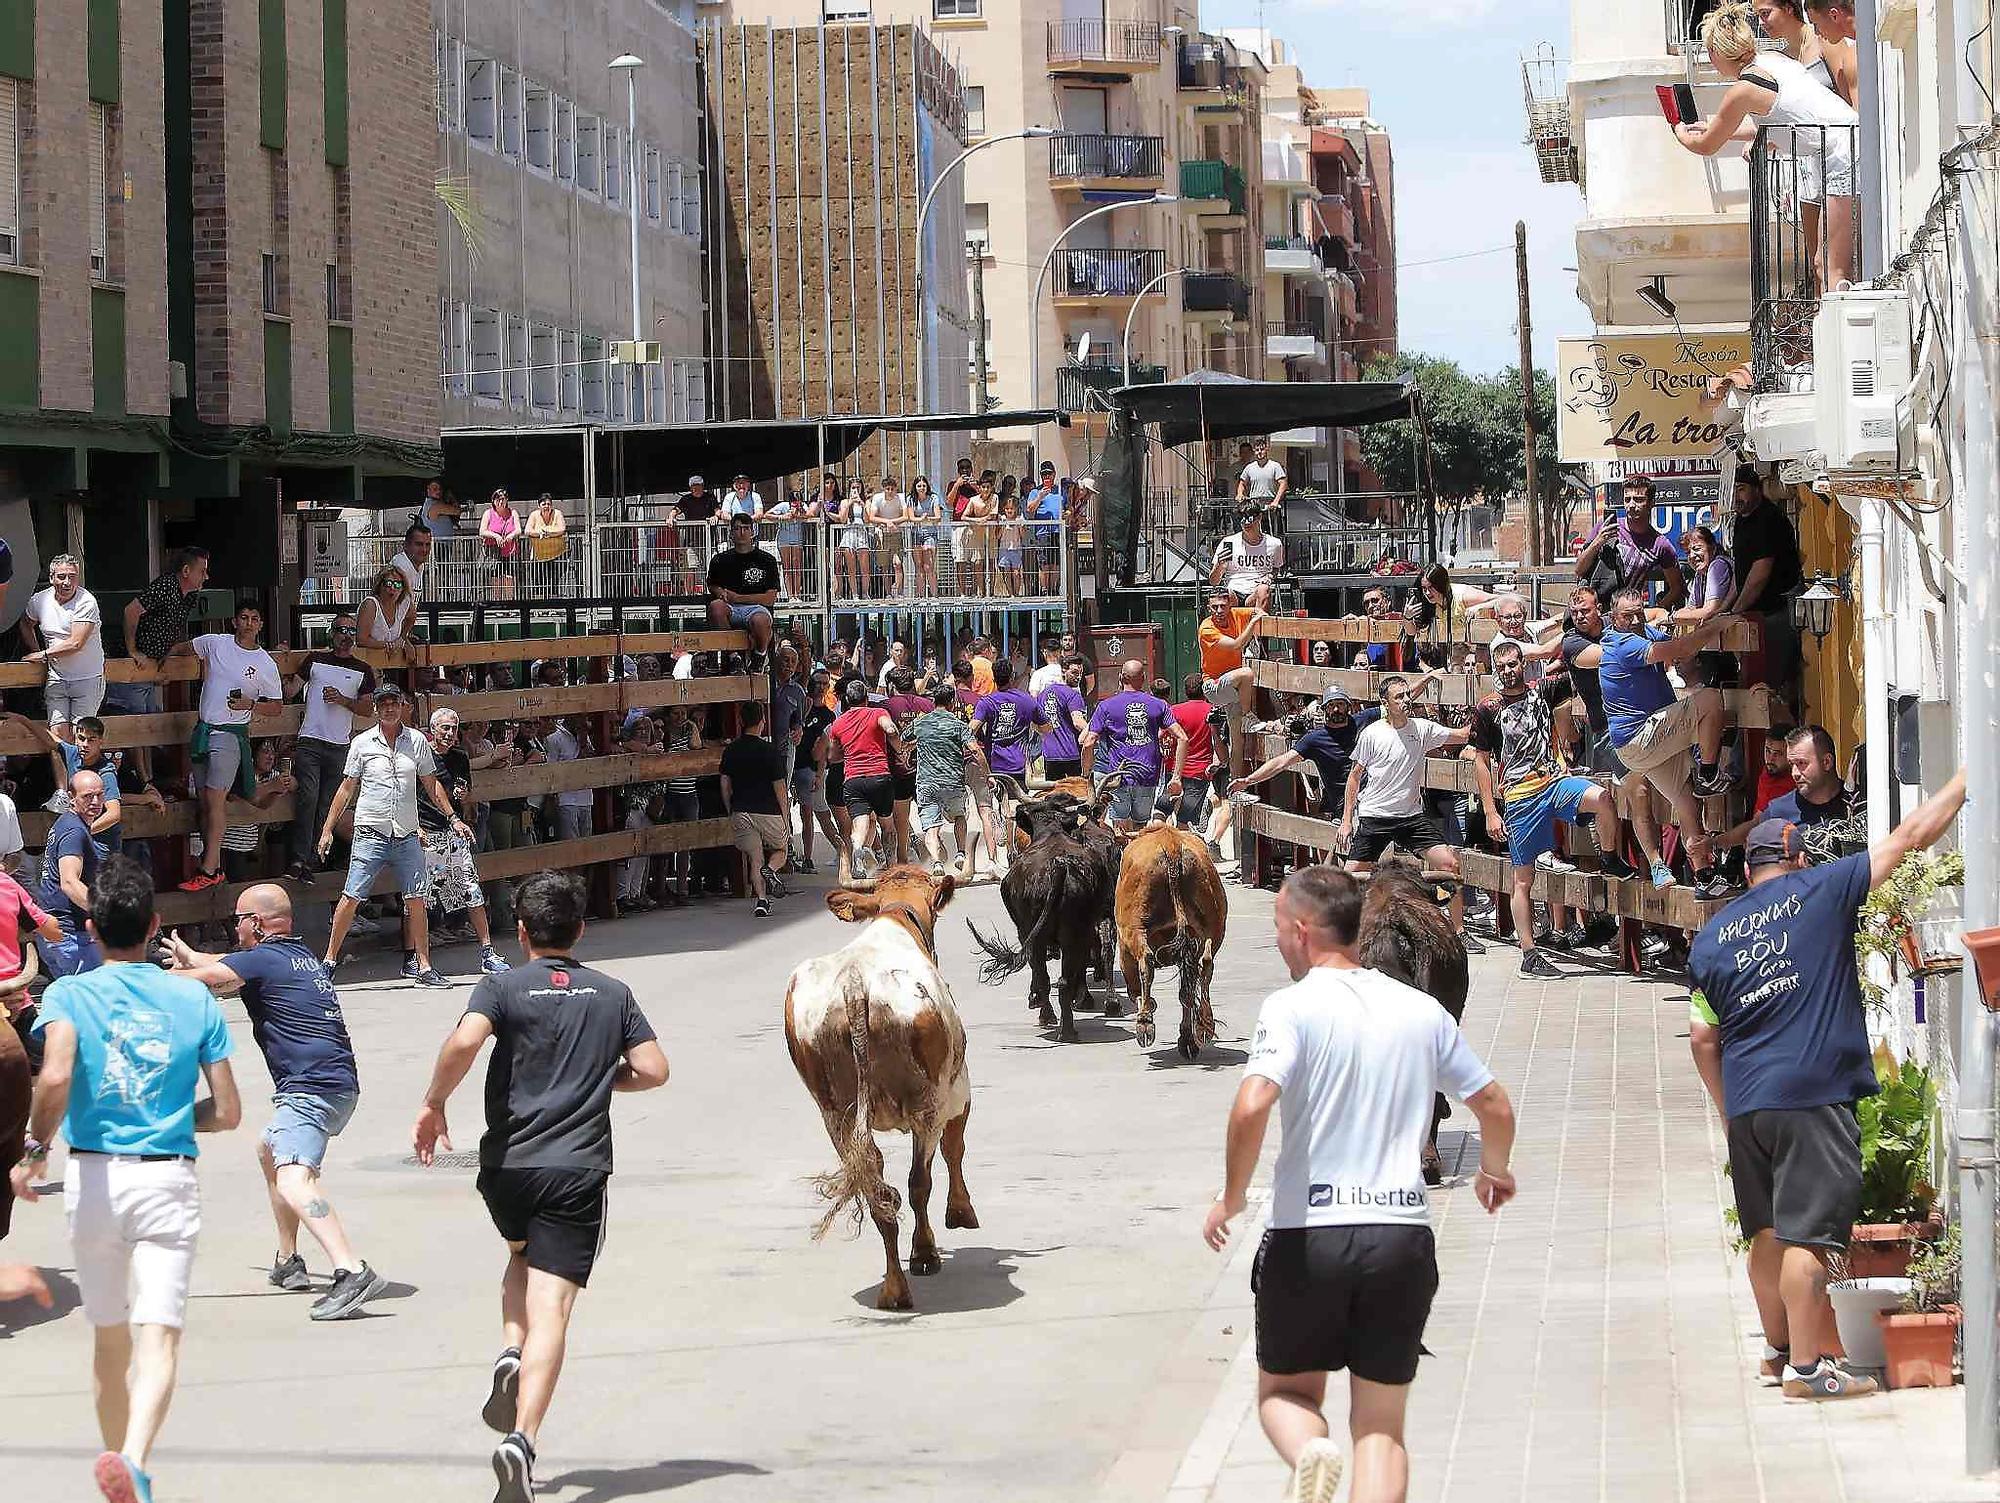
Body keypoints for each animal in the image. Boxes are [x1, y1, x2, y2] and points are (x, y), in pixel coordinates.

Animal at [780, 863, 976, 1311]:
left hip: (834, 1115)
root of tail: (856, 985)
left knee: (877, 1190)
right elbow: (954, 1150)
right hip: (927, 1105)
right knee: (917, 1184)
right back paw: (921, 1258)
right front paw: (960, 1212)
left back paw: (894, 1287)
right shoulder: (958, 1091)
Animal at [1120, 827, 1224, 1063]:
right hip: (1211, 926)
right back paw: (1203, 1026)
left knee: (1146, 962)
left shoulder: (1123, 948)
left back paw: (1145, 1024)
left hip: (1134, 929)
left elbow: (1135, 988)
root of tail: (1171, 844)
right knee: (1204, 965)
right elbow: (1186, 989)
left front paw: (1148, 1006)